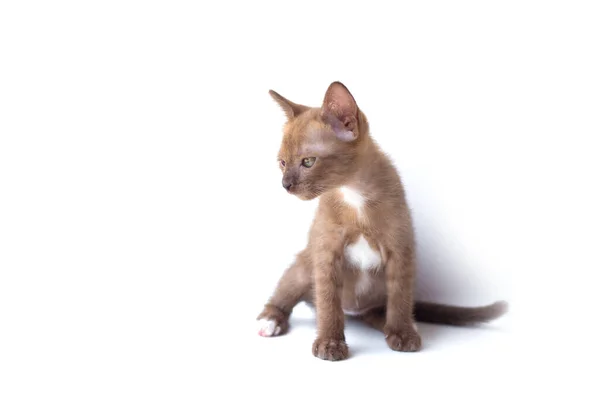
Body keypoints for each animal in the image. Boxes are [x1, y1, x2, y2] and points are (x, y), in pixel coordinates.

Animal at [255, 79, 508, 360]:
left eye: (308, 162)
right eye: (282, 163)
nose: (285, 185)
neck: (354, 194)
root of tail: (354, 311)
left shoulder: (400, 250)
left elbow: (399, 298)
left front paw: (403, 334)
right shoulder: (326, 253)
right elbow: (328, 303)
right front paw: (330, 344)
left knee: (386, 310)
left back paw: (402, 326)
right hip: (304, 266)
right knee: (287, 293)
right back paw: (270, 321)